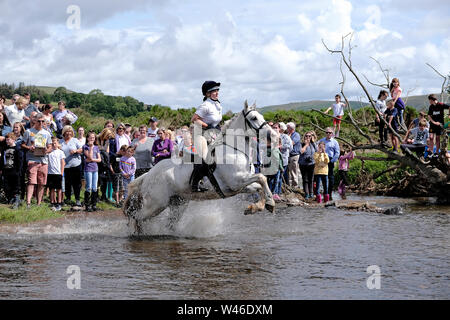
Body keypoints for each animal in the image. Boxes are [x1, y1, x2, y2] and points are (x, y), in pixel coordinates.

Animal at [125, 101, 276, 234]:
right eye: (254, 118)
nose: (273, 135)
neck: (233, 149)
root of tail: (148, 175)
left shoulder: (239, 186)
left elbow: (259, 186)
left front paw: (257, 207)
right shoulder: (236, 181)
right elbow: (262, 178)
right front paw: (270, 202)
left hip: (178, 203)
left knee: (167, 224)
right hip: (156, 204)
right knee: (136, 216)